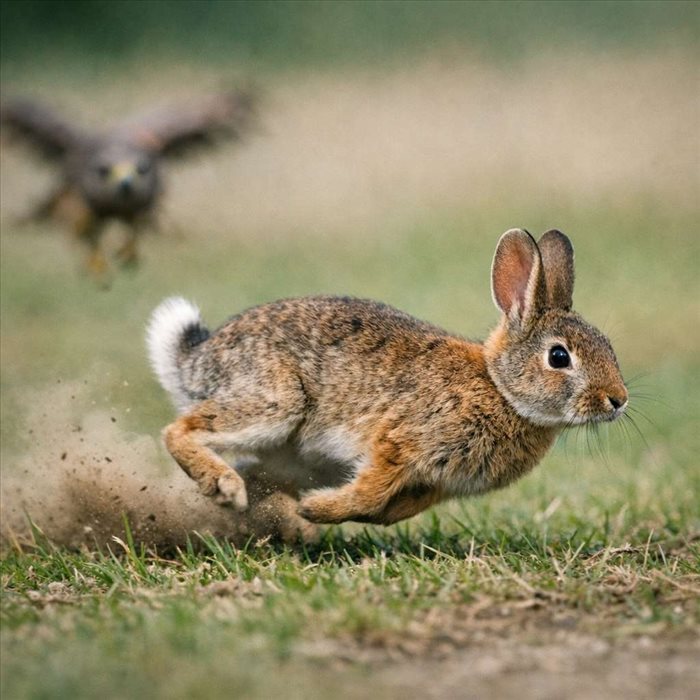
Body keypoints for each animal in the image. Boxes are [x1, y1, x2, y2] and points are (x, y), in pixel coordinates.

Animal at [146, 228, 628, 539]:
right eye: (559, 357)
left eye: (608, 346)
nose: (618, 400)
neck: (499, 389)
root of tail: (196, 361)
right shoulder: (398, 440)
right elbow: (369, 492)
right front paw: (314, 509)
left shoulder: (432, 485)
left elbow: (385, 511)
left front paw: (315, 511)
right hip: (276, 402)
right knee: (179, 430)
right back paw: (226, 487)